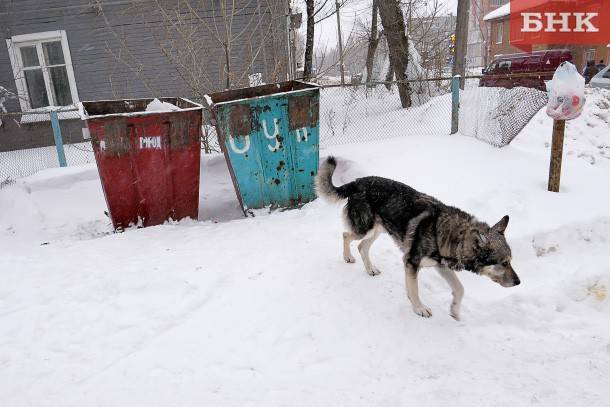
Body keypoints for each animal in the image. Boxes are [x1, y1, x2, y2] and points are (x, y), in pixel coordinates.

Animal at [314, 158, 516, 320]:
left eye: (511, 261)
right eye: (504, 263)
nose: (519, 282)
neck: (448, 233)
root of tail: (357, 181)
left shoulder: (440, 266)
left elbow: (460, 288)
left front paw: (455, 311)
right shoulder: (411, 263)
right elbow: (415, 289)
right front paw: (419, 308)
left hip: (378, 230)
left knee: (362, 246)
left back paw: (370, 269)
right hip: (364, 228)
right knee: (346, 235)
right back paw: (347, 257)